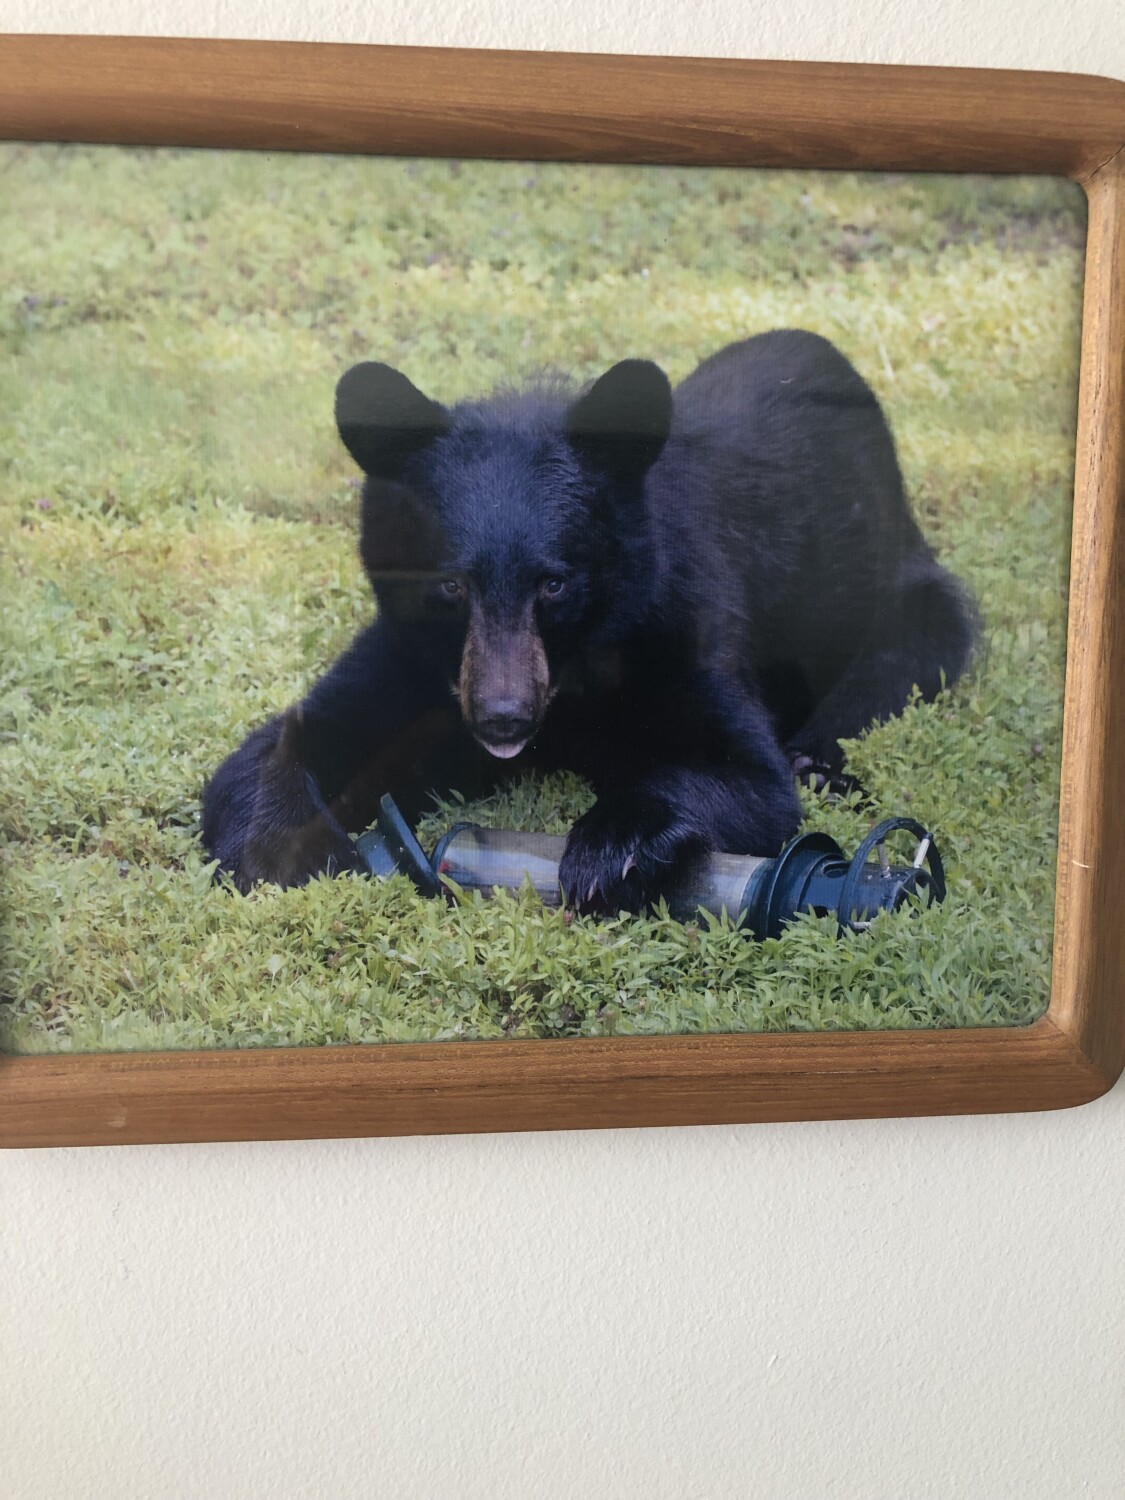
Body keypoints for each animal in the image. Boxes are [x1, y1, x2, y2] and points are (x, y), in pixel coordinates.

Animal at [201, 329, 975, 912]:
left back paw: (817, 761)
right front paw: (285, 845)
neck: (570, 678)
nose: (501, 719)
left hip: (903, 595)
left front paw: (608, 850)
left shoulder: (680, 621)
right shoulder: (417, 656)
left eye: (553, 583)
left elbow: (748, 777)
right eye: (451, 584)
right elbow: (299, 737)